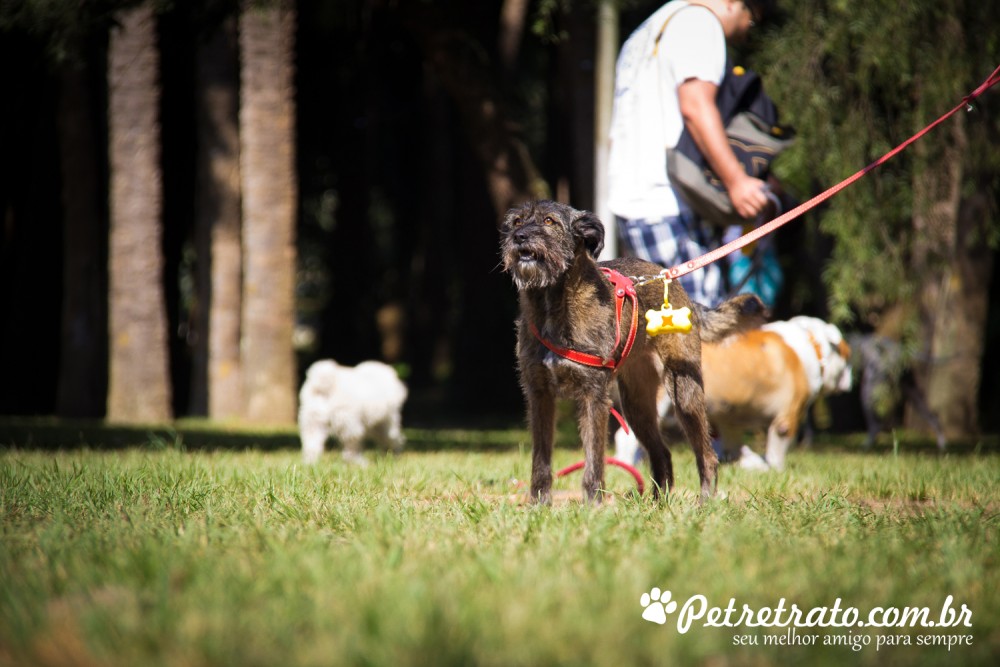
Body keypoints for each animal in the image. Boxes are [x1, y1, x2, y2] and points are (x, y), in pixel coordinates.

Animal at [500, 201, 764, 504]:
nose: (519, 237)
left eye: (549, 221)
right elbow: (540, 460)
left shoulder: (593, 396)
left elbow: (594, 459)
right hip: (637, 405)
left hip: (683, 393)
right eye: (517, 221)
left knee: (707, 455)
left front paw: (593, 504)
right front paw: (539, 504)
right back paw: (658, 504)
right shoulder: (539, 396)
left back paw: (704, 501)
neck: (553, 305)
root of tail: (667, 278)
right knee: (662, 453)